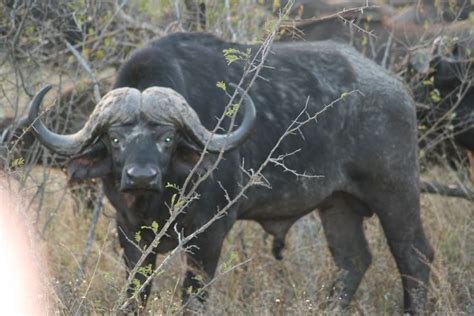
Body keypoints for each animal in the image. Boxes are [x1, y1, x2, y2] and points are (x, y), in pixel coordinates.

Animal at [26, 32, 434, 314]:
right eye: (115, 138)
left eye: (167, 138)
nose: (140, 176)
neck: (156, 200)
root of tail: (398, 89)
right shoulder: (129, 234)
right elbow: (136, 294)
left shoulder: (209, 234)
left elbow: (193, 297)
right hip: (338, 203)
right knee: (353, 261)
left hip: (395, 191)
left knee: (415, 257)